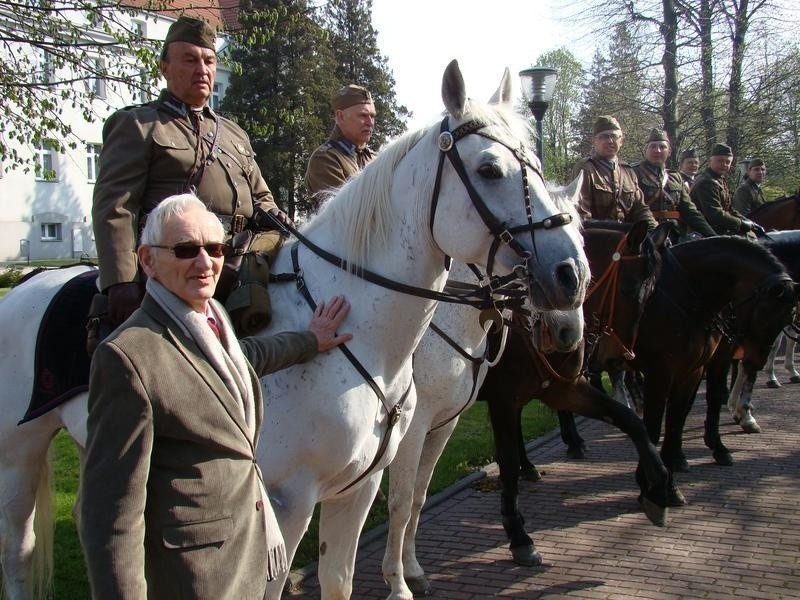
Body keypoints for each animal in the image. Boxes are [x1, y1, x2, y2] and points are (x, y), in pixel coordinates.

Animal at [0, 61, 588, 600]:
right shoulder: (288, 499)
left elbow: (351, 565)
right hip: (20, 448)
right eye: (489, 169)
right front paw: (401, 581)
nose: (570, 277)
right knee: (20, 547)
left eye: (537, 163)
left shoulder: (365, 482)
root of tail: (28, 282)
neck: (359, 332)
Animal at [478, 221, 672, 568]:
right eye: (628, 289)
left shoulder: (563, 389)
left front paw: (658, 489)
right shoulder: (502, 400)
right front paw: (518, 535)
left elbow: (631, 421)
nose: (617, 359)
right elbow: (507, 463)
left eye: (649, 293)